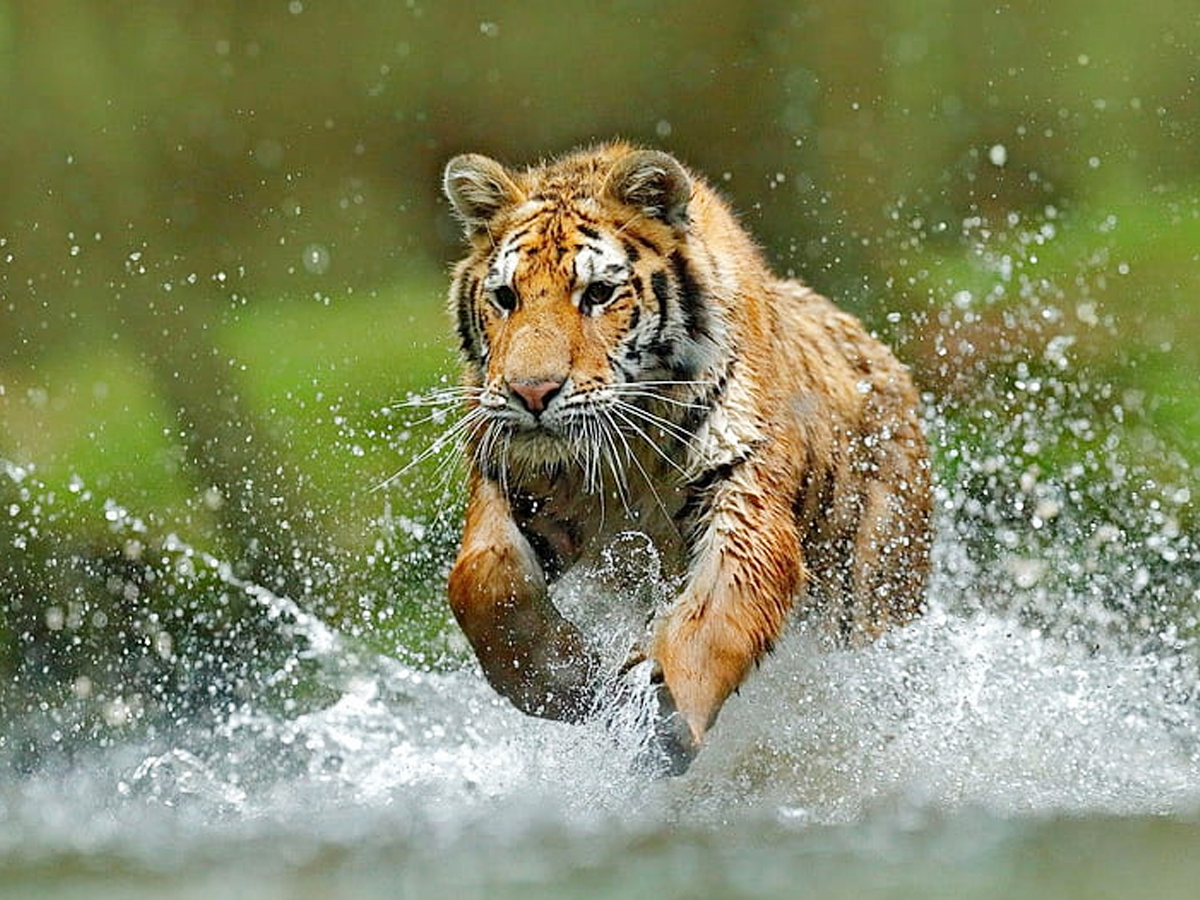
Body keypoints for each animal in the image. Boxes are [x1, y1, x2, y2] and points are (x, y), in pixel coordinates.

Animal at [439, 142, 932, 775]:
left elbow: (716, 612)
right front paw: (569, 681)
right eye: (505, 297)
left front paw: (661, 712)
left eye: (597, 294)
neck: (622, 450)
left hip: (876, 587)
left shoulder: (743, 493)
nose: (532, 393)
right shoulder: (510, 477)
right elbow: (481, 580)